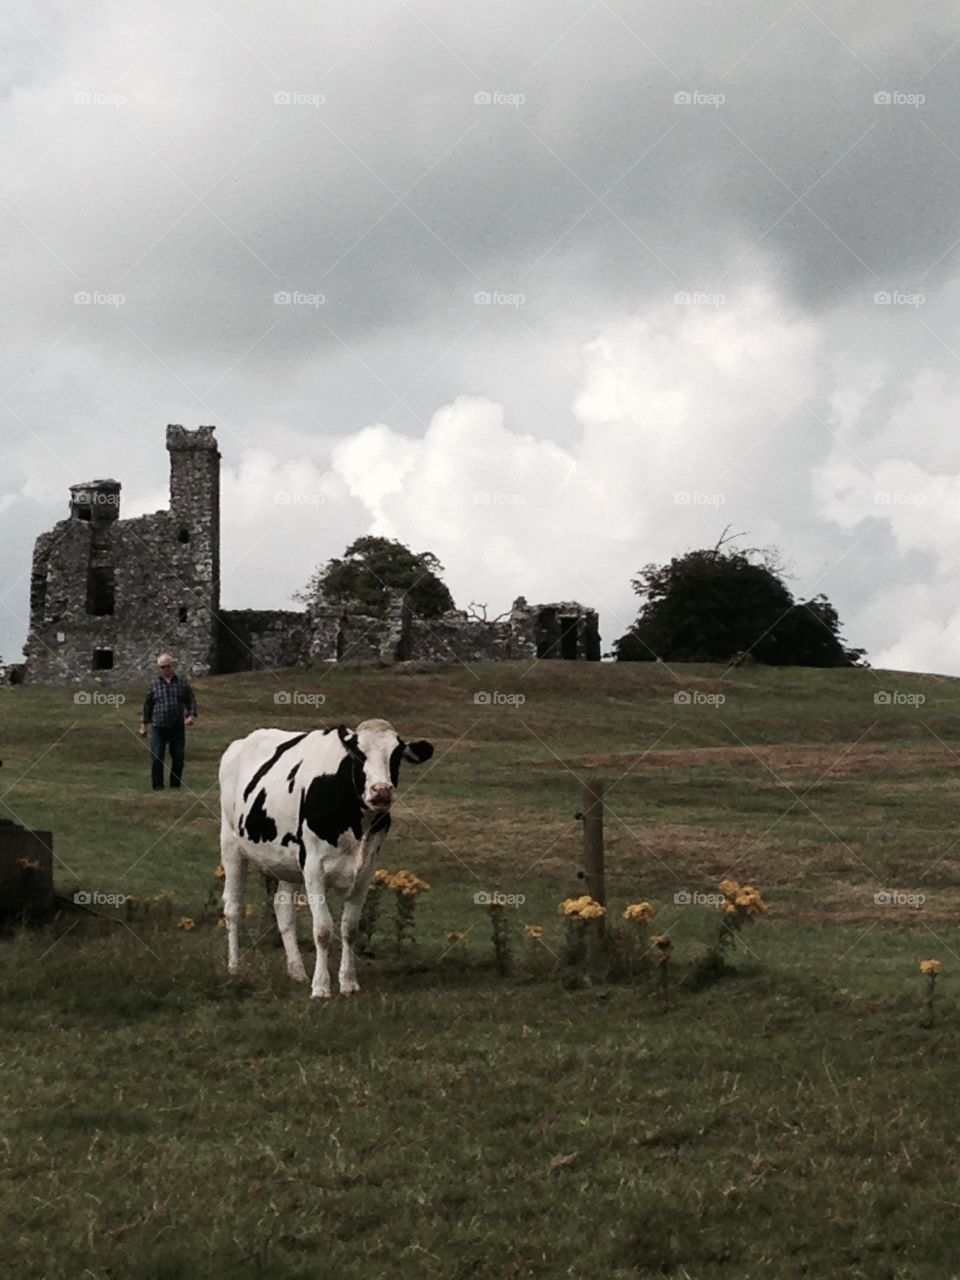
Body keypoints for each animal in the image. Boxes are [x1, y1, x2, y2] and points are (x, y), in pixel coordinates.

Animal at [218, 719, 434, 998]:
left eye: (396, 755)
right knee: (233, 908)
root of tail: (241, 742)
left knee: (283, 910)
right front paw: (321, 986)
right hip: (231, 844)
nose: (381, 791)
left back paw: (297, 971)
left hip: (287, 862)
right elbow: (322, 929)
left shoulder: (366, 869)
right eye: (358, 754)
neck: (356, 822)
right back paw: (234, 967)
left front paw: (348, 982)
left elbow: (350, 928)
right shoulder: (313, 867)